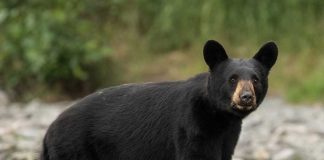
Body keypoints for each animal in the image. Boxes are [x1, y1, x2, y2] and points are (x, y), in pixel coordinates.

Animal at [41, 40, 278, 160]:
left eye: (255, 79)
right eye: (232, 79)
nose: (246, 97)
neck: (219, 117)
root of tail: (49, 131)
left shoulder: (227, 137)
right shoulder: (191, 127)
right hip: (74, 148)